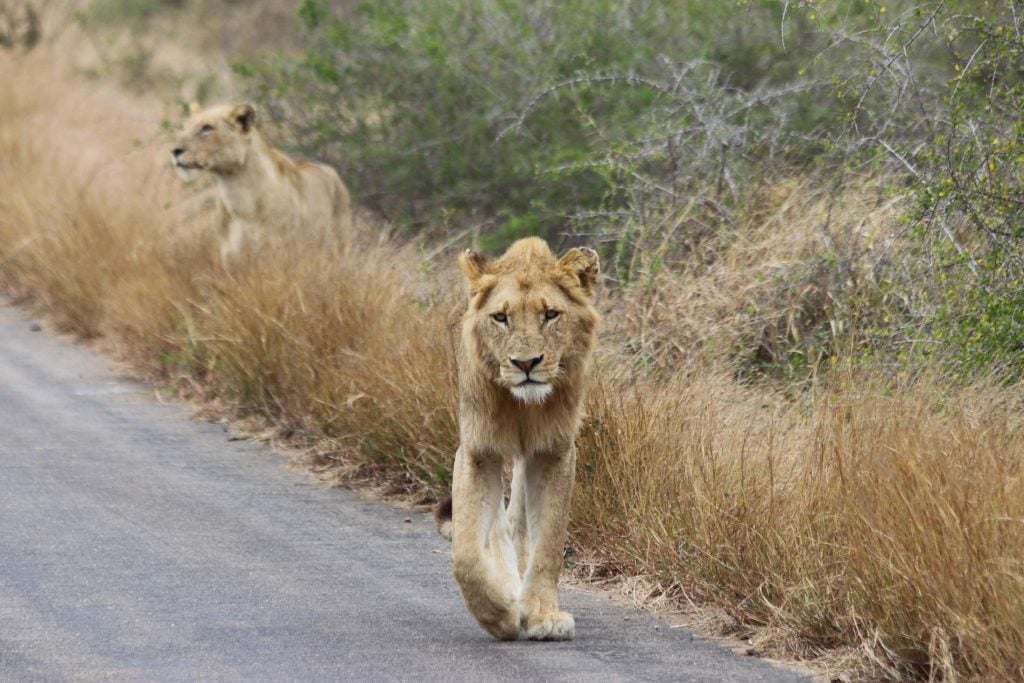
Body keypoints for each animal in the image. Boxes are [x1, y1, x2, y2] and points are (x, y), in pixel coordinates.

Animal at [171, 102, 352, 266]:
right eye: (185, 127)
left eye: (207, 128)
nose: (175, 151)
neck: (234, 188)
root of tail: (330, 168)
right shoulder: (231, 258)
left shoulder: (278, 254)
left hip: (339, 245)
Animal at [434, 236, 598, 643]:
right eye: (500, 317)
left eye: (551, 314)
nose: (526, 364)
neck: (522, 406)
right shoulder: (477, 452)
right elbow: (466, 555)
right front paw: (499, 614)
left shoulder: (554, 452)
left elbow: (548, 544)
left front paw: (542, 616)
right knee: (497, 528)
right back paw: (507, 590)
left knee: (517, 522)